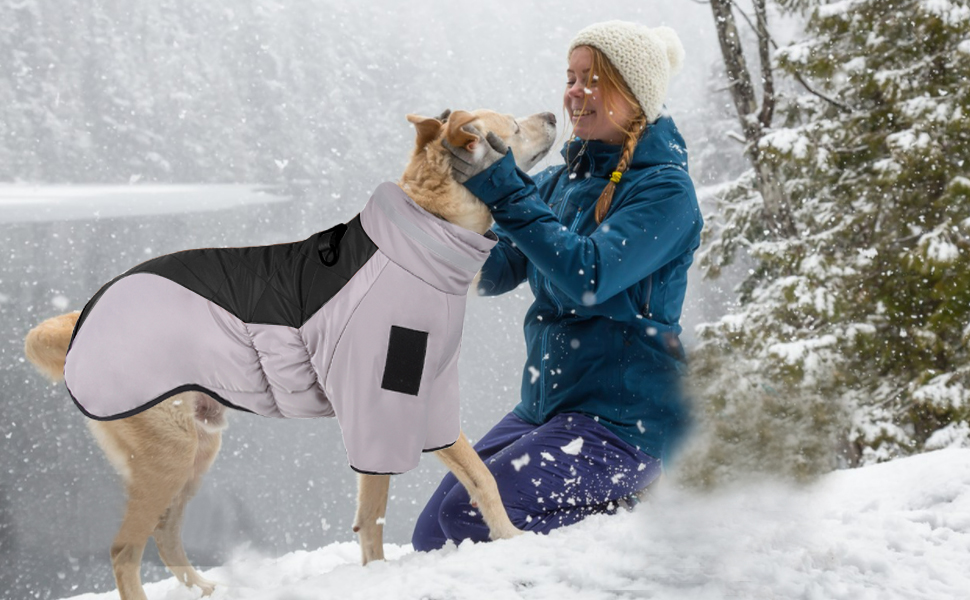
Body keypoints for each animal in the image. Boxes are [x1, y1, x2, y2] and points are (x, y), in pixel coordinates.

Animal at [26, 108, 556, 600]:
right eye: (512, 126)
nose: (553, 114)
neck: (420, 238)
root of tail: (83, 317)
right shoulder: (386, 405)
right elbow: (460, 483)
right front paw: (509, 538)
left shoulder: (416, 402)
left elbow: (398, 504)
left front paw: (383, 573)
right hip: (169, 456)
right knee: (124, 550)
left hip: (197, 451)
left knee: (165, 533)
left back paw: (205, 588)